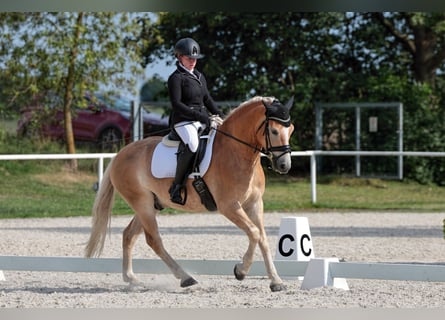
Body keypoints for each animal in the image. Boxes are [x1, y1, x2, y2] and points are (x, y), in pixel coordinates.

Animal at [85, 94, 294, 290]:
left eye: (290, 130)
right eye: (274, 131)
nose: (284, 166)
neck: (236, 152)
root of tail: (120, 154)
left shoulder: (255, 204)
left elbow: (262, 238)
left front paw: (276, 281)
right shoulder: (229, 207)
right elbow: (254, 233)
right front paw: (240, 271)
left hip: (151, 204)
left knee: (129, 235)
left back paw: (131, 278)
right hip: (142, 204)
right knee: (154, 240)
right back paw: (185, 278)